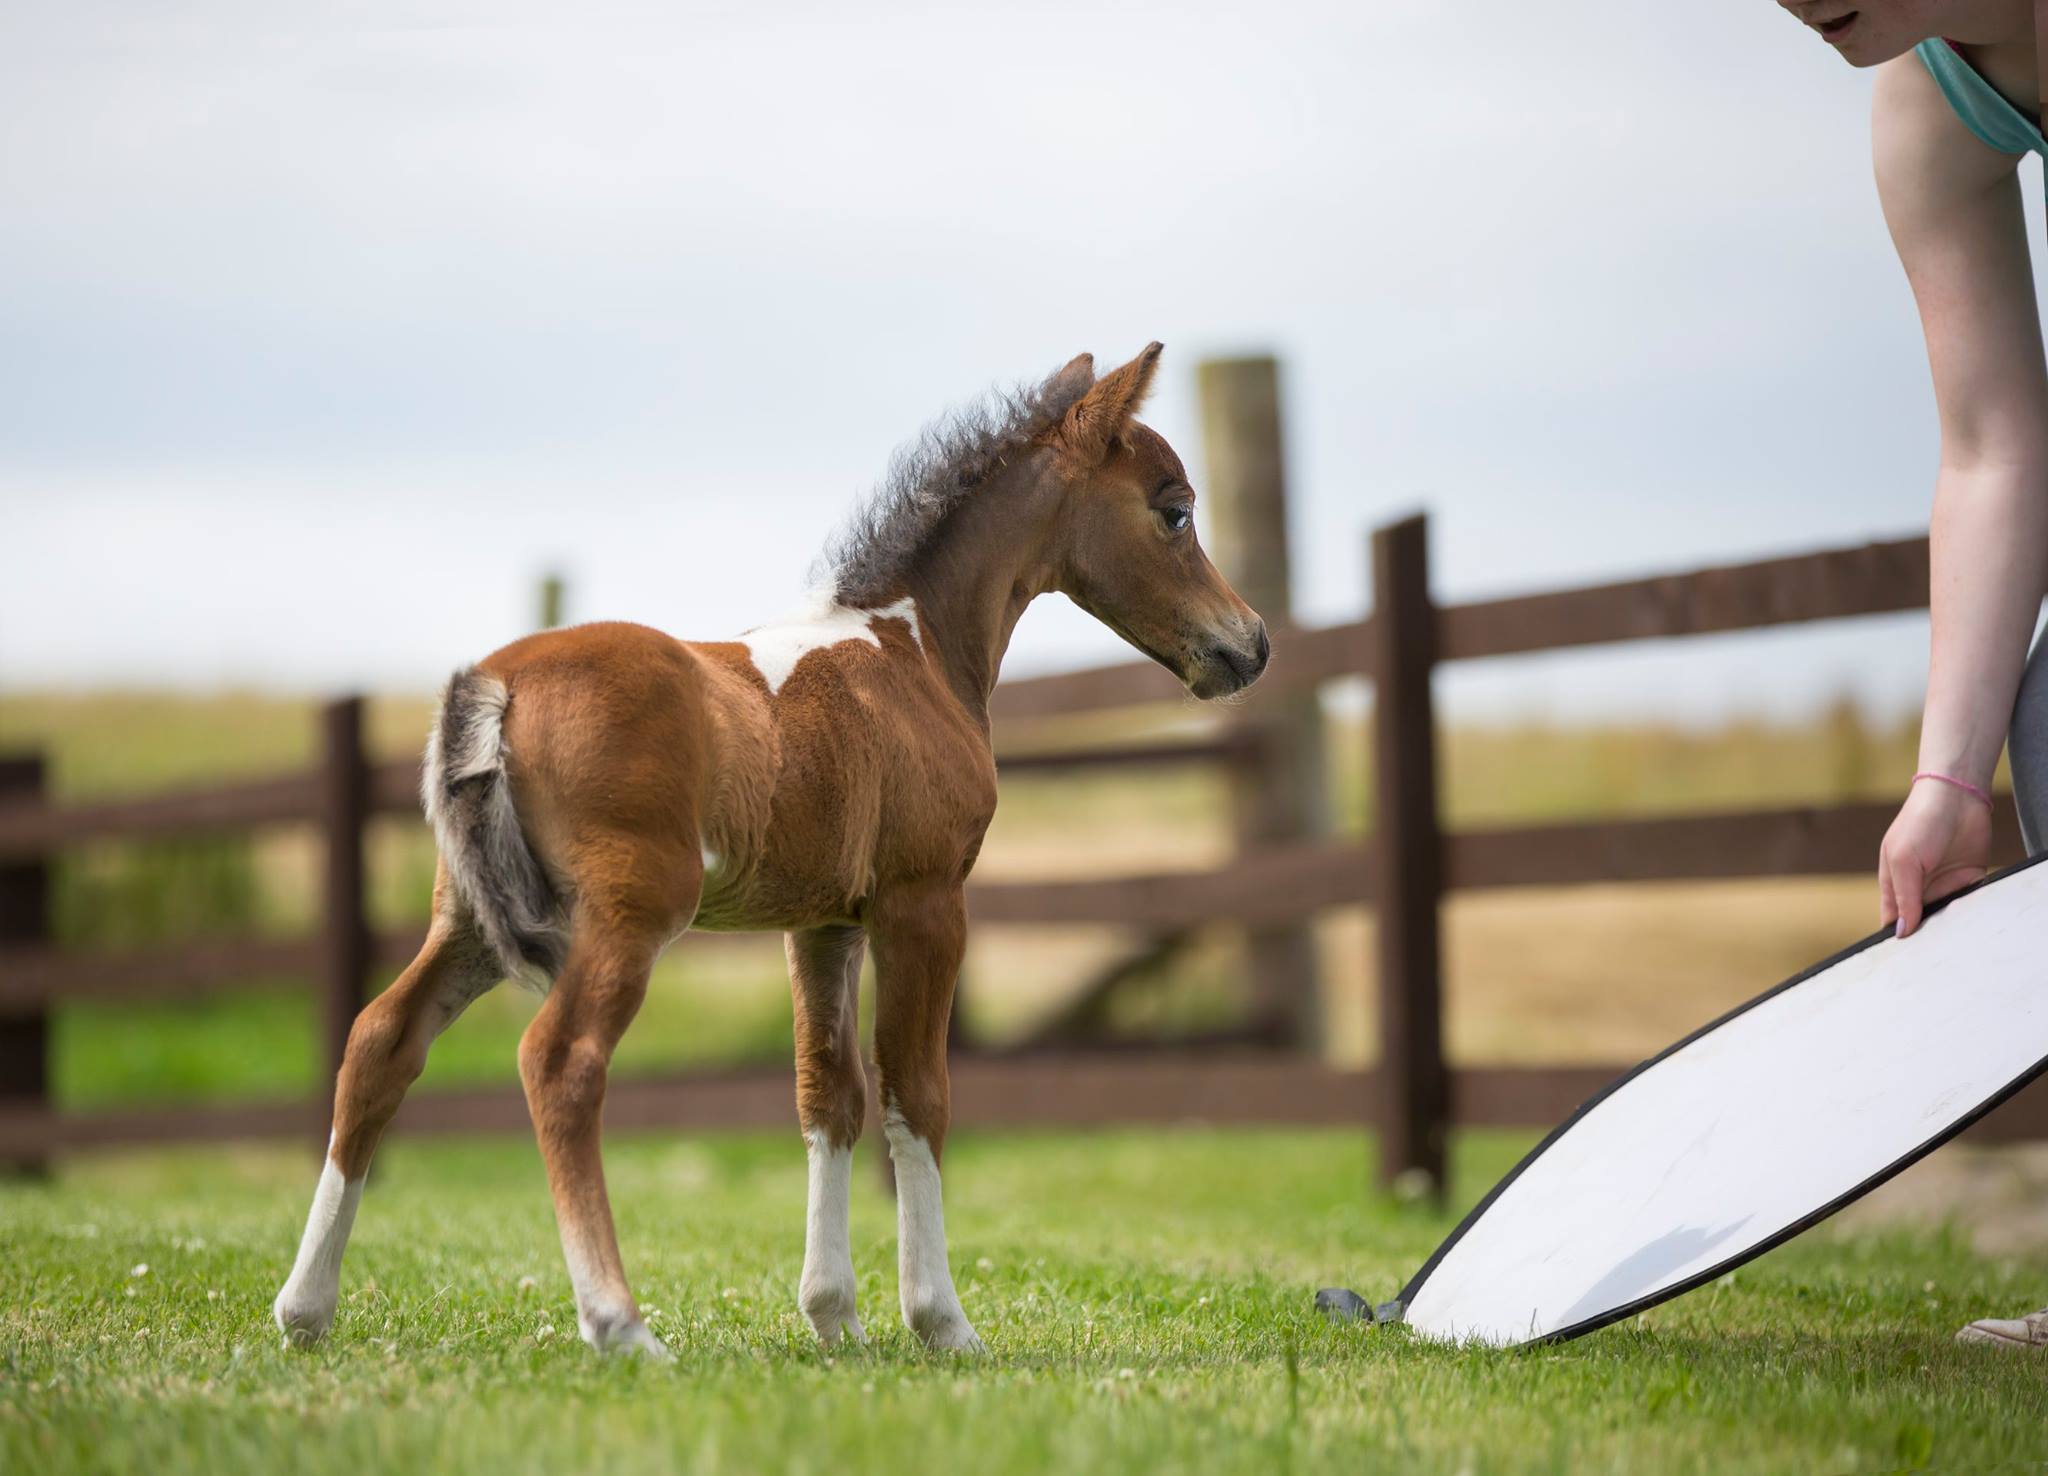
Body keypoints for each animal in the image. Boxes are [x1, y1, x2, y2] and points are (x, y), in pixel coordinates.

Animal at [272, 342, 1270, 1357]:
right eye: (1175, 509)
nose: (1252, 642)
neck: (914, 651)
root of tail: (496, 684)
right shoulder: (923, 903)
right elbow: (917, 1093)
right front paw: (941, 1323)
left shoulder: (823, 923)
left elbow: (828, 1094)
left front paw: (835, 1317)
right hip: (629, 911)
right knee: (560, 1060)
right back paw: (620, 1325)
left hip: (471, 918)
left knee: (380, 1040)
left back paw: (305, 1310)